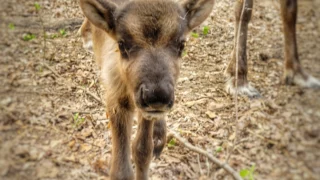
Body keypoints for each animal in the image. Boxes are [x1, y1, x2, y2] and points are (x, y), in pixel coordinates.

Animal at [79, 0, 214, 179]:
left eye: (181, 45)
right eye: (122, 44)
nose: (157, 96)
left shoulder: (146, 110)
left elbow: (142, 150)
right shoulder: (117, 100)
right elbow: (122, 170)